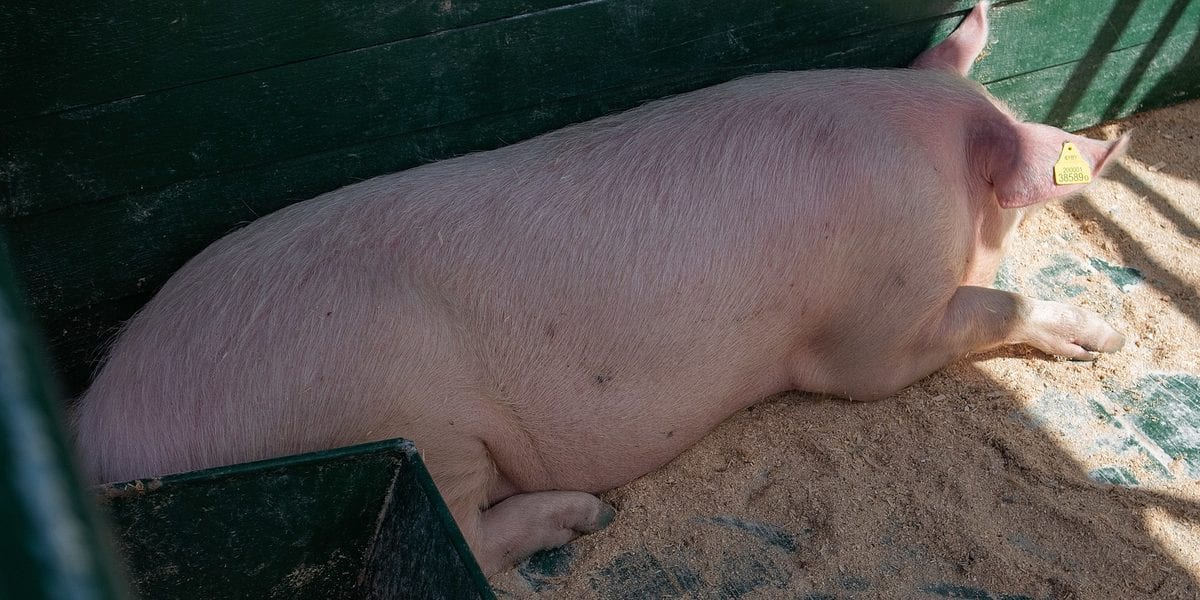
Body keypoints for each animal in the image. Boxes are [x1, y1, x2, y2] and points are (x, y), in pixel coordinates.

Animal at [73, 1, 1126, 576]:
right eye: (1011, 216)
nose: (1013, 242)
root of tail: (101, 427)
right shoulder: (870, 334)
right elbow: (971, 321)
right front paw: (1103, 337)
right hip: (401, 421)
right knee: (462, 531)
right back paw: (586, 518)